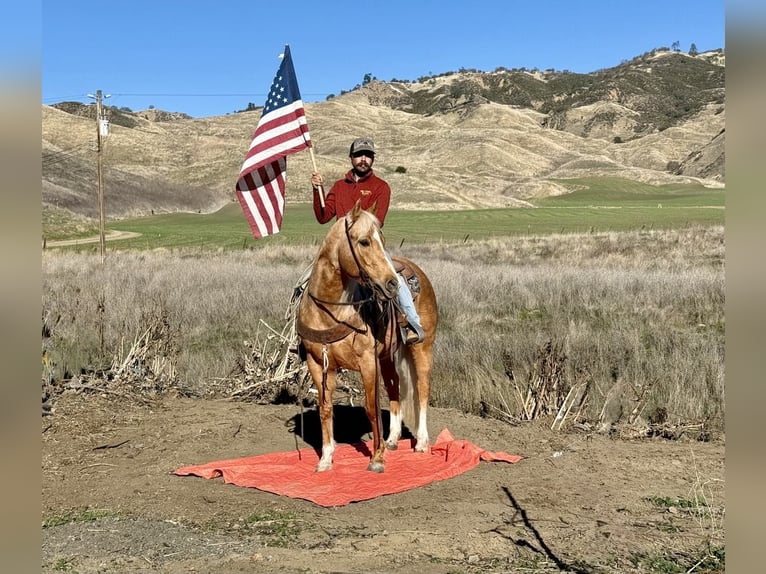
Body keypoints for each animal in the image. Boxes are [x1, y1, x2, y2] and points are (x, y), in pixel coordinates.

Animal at [294, 201, 438, 472]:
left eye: (381, 238)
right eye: (364, 242)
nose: (391, 284)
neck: (331, 311)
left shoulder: (367, 361)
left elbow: (371, 408)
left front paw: (377, 458)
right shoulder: (318, 364)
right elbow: (325, 408)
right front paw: (325, 459)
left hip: (422, 348)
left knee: (422, 389)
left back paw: (422, 443)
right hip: (388, 356)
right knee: (395, 389)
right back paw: (393, 439)